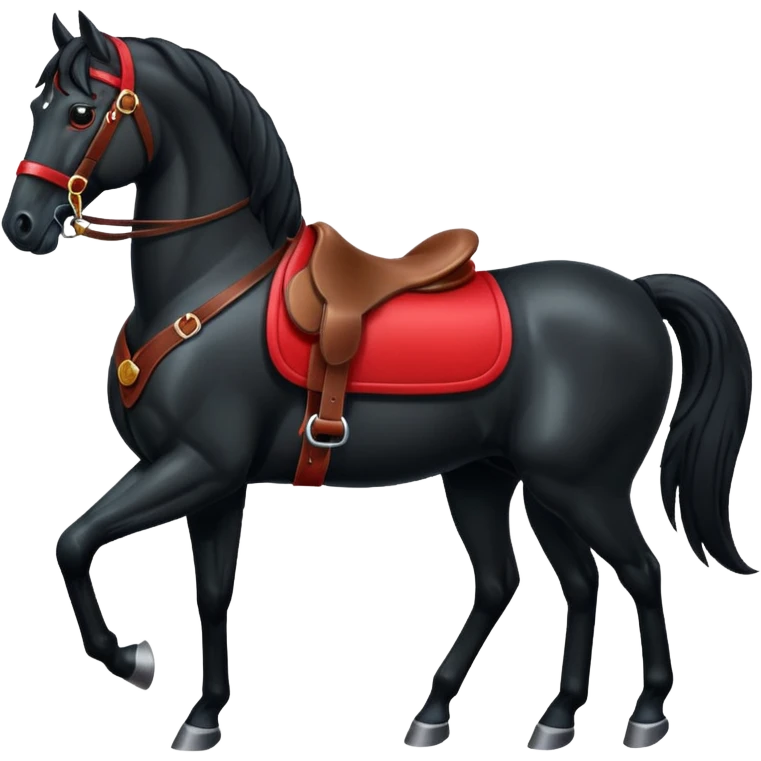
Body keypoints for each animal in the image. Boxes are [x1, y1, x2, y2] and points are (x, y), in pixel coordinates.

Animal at [3, 10, 756, 753]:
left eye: (80, 111)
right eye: (35, 105)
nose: (23, 223)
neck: (207, 290)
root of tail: (637, 292)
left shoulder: (197, 465)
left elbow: (75, 541)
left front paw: (131, 659)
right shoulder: (212, 481)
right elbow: (210, 594)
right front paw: (203, 715)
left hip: (582, 485)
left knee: (637, 571)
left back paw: (645, 714)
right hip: (502, 480)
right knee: (545, 583)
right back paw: (515, 716)